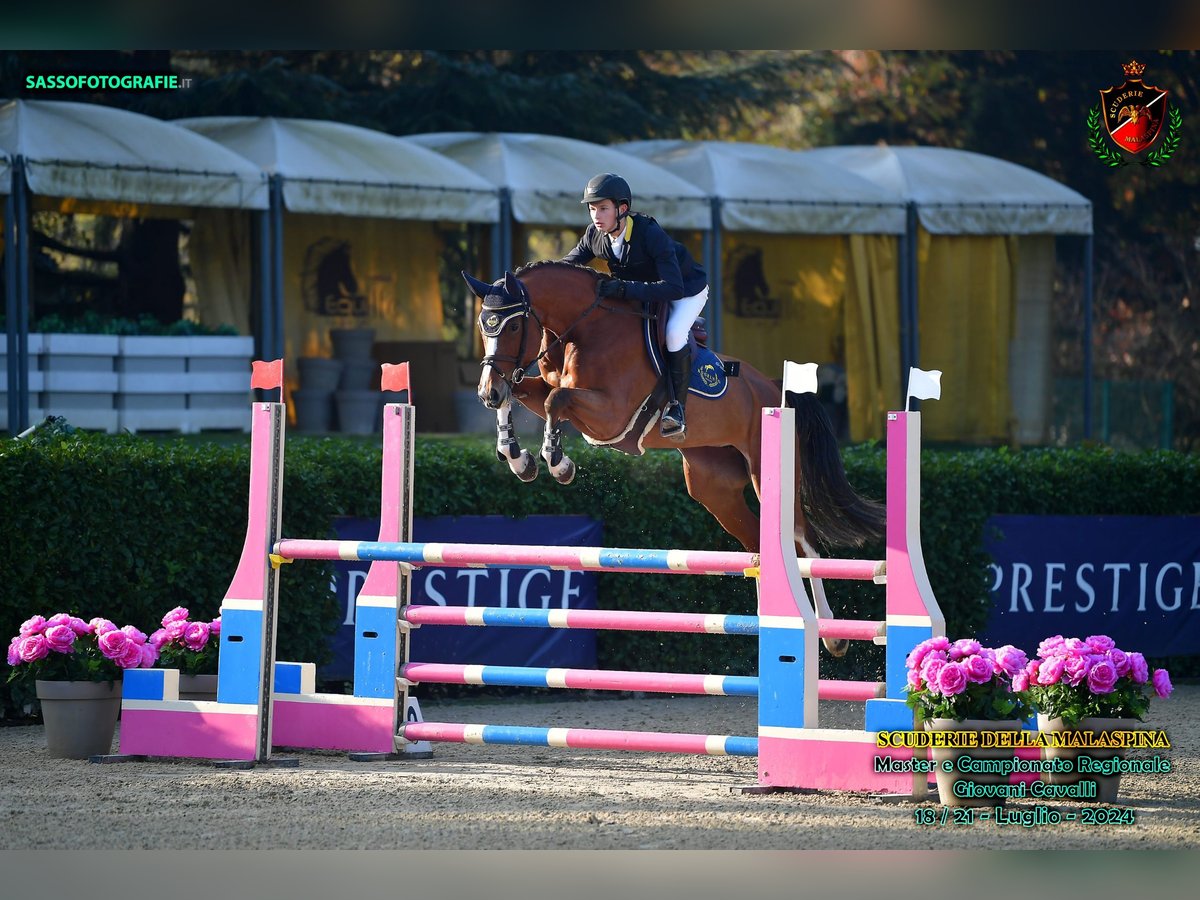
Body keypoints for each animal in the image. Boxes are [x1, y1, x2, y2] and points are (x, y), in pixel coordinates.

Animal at [463, 260, 888, 657]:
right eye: (484, 328)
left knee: (804, 543)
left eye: (512, 329)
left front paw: (558, 462)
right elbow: (525, 393)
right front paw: (517, 457)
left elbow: (556, 399)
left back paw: (831, 635)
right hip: (713, 488)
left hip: (768, 475)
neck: (586, 328)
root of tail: (772, 387)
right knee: (760, 544)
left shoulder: (610, 416)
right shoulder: (549, 391)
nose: (485, 393)